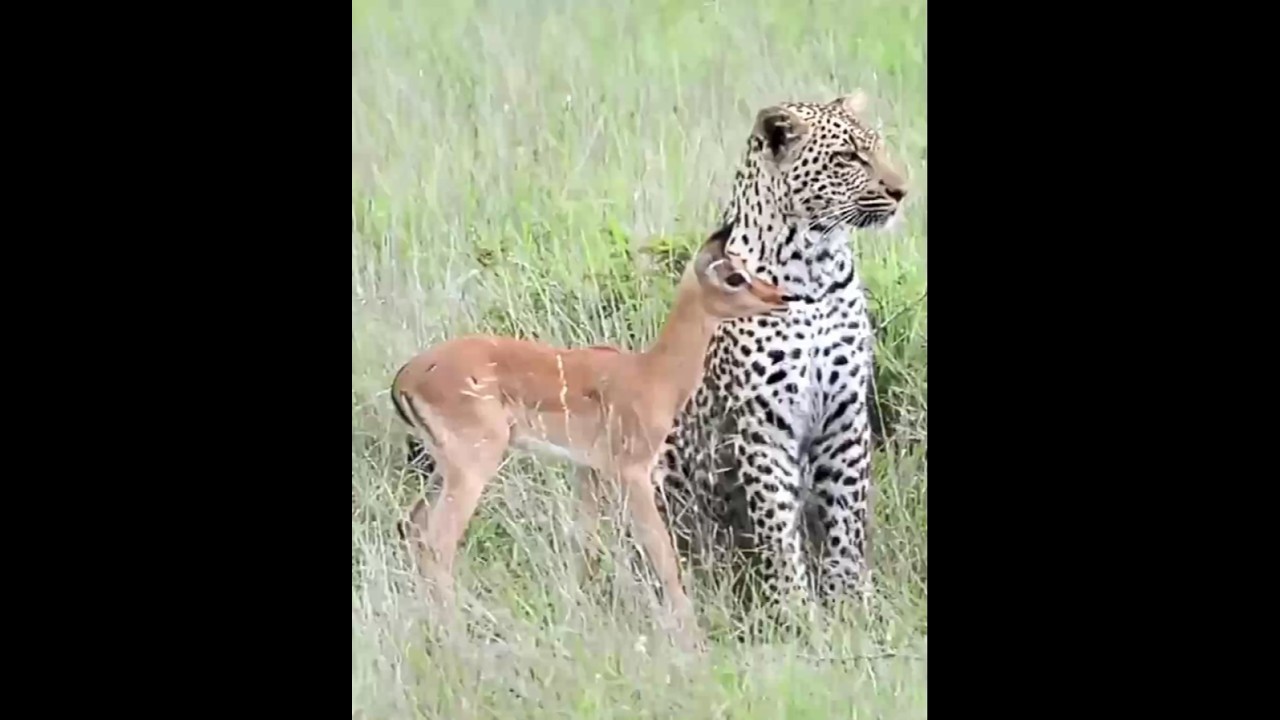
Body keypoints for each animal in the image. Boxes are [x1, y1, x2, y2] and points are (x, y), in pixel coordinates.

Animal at [390, 223, 792, 646]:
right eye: (734, 276)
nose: (781, 297)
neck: (652, 375)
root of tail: (408, 376)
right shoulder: (633, 472)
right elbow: (662, 552)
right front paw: (692, 639)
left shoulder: (589, 471)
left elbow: (583, 545)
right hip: (473, 468)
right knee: (438, 543)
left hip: (444, 468)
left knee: (413, 527)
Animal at [653, 91, 909, 615]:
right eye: (848, 158)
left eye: (878, 148)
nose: (902, 191)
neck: (813, 270)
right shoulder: (765, 425)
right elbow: (776, 526)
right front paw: (795, 611)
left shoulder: (844, 415)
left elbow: (847, 517)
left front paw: (852, 603)